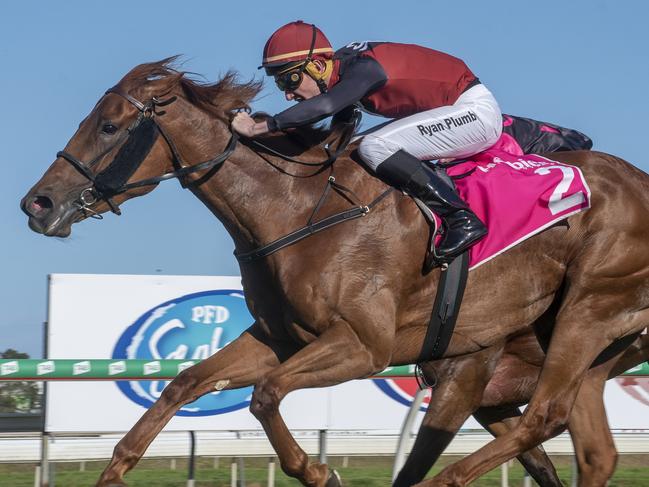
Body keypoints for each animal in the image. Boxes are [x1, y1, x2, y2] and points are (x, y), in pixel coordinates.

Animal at [20, 59, 648, 486]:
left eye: (109, 126)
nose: (37, 204)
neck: (297, 208)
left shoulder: (366, 345)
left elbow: (267, 395)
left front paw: (321, 472)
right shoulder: (279, 336)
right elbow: (186, 383)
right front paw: (114, 469)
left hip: (588, 307)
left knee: (545, 415)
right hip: (579, 351)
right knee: (586, 446)